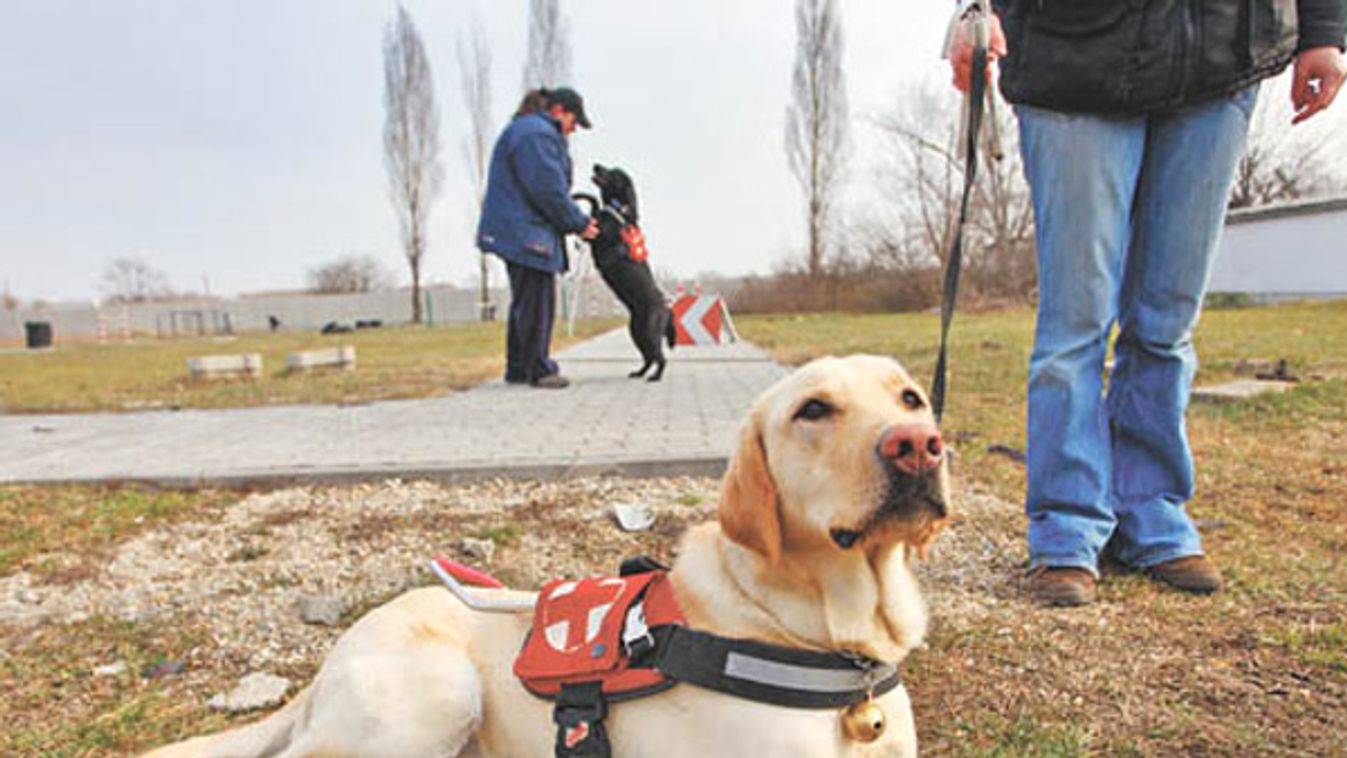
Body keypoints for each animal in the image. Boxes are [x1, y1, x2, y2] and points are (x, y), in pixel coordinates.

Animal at [581, 164, 678, 379]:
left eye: (614, 173)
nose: (596, 165)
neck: (619, 209)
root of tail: (667, 308)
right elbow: (595, 205)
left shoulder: (595, 233)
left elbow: (593, 205)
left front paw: (577, 195)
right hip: (636, 332)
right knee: (649, 357)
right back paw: (639, 373)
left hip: (649, 333)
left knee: (660, 357)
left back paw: (655, 377)